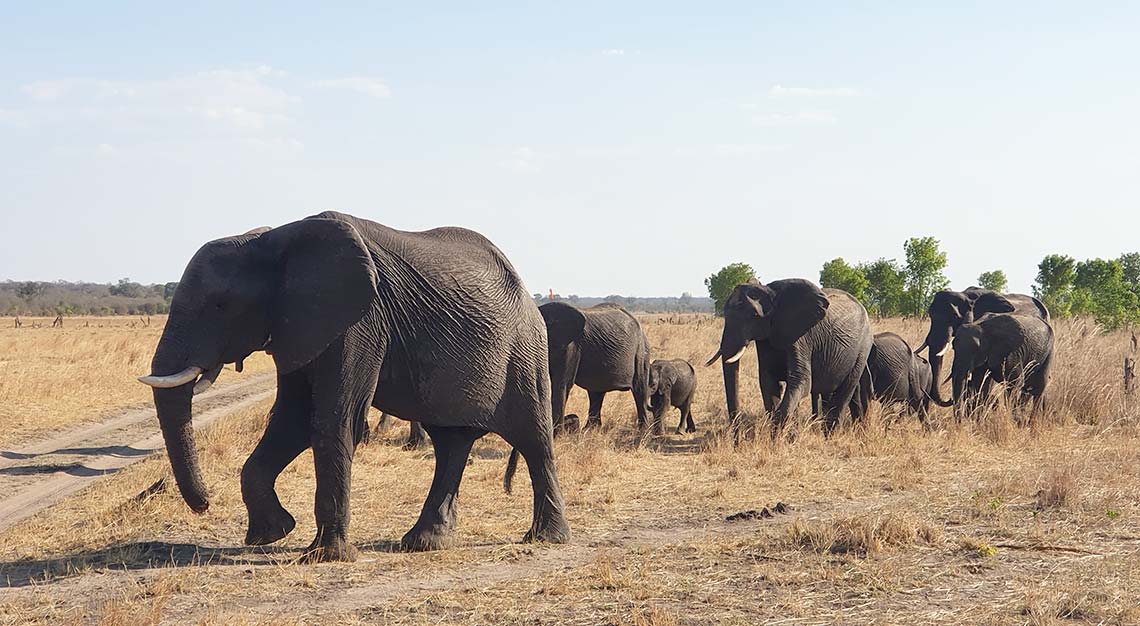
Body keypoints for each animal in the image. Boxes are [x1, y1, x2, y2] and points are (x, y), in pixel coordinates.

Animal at [137, 210, 570, 561]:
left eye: (220, 305)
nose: (205, 504)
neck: (274, 239)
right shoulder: (299, 325)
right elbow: (292, 420)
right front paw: (270, 535)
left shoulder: (360, 321)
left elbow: (332, 419)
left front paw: (325, 556)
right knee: (451, 443)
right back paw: (424, 543)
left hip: (526, 352)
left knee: (532, 440)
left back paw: (546, 539)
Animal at [533, 303, 652, 435]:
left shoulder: (571, 346)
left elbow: (561, 384)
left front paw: (557, 435)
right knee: (596, 392)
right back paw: (589, 430)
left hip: (641, 351)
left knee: (639, 389)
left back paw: (643, 431)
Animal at [702, 279, 870, 440]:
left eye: (754, 316)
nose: (737, 444)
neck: (771, 293)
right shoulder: (766, 337)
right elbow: (768, 383)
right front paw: (785, 440)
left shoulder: (801, 337)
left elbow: (800, 382)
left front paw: (775, 442)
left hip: (862, 347)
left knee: (845, 391)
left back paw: (830, 438)